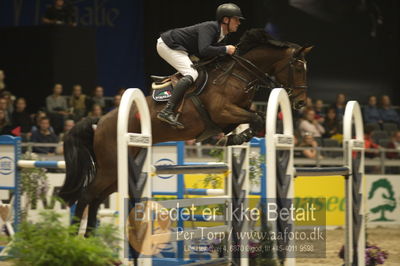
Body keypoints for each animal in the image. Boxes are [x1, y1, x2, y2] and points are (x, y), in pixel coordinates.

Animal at [58, 29, 312, 236]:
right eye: (298, 67)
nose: (300, 102)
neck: (239, 74)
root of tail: (100, 121)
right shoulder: (223, 111)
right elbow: (257, 118)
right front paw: (237, 137)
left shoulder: (233, 114)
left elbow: (255, 118)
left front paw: (233, 137)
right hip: (111, 166)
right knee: (87, 195)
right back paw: (76, 238)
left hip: (119, 169)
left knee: (97, 198)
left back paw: (90, 238)